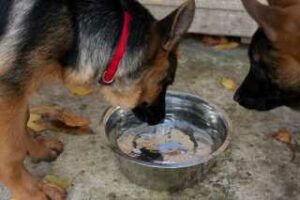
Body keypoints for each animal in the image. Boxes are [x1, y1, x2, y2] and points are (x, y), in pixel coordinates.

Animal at [0, 0, 196, 199]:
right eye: (167, 80)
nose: (161, 119)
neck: (74, 23)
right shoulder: (9, 88)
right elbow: (12, 151)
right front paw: (30, 191)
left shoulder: (18, 86)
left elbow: (22, 121)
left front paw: (36, 149)